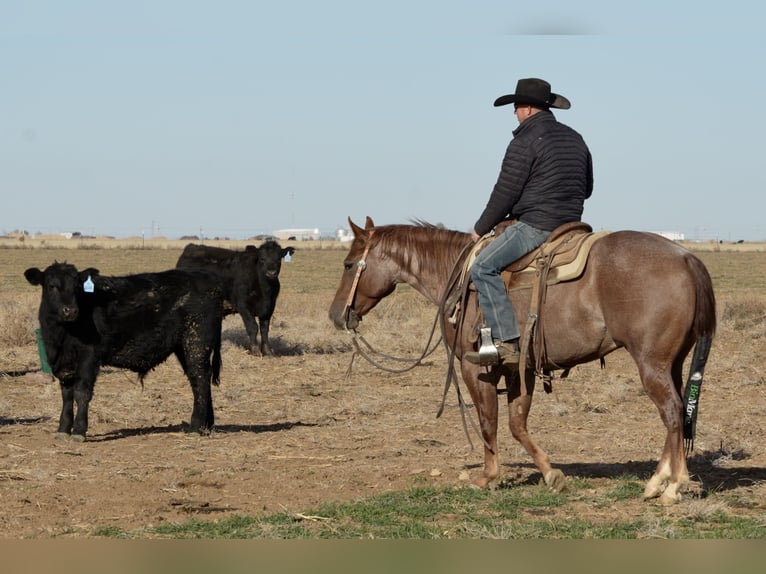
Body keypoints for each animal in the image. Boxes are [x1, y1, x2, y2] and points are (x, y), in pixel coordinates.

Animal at [24, 264, 226, 444]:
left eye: (77, 287)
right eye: (51, 285)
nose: (71, 310)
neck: (62, 335)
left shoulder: (89, 357)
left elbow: (81, 392)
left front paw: (79, 431)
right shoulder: (63, 364)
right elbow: (66, 395)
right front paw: (63, 429)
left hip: (196, 342)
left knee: (200, 379)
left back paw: (196, 427)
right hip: (183, 347)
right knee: (199, 379)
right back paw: (206, 426)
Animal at [330, 218, 720, 506]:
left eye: (349, 264)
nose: (336, 314)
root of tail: (686, 258)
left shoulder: (477, 369)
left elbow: (488, 422)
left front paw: (487, 477)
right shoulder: (520, 369)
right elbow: (517, 423)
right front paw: (550, 473)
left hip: (651, 364)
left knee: (672, 412)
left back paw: (672, 486)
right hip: (672, 364)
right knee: (677, 412)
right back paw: (657, 481)